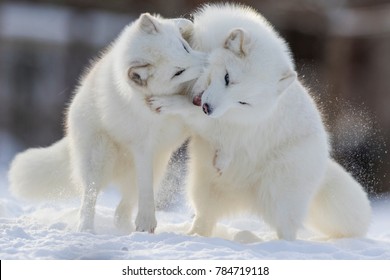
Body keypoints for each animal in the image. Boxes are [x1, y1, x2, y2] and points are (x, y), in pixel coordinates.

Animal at [7, 12, 206, 232]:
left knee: (122, 208)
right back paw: (87, 229)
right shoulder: (143, 148)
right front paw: (146, 221)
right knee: (90, 198)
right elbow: (146, 192)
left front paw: (185, 24)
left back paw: (125, 228)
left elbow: (179, 22)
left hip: (158, 163)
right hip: (100, 159)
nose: (208, 63)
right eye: (178, 72)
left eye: (185, 47)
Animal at [149, 3, 372, 241]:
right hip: (201, 185)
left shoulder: (219, 121)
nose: (208, 107)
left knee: (287, 233)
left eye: (243, 102)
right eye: (227, 78)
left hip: (279, 194)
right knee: (204, 218)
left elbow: (193, 113)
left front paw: (167, 103)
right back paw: (195, 236)